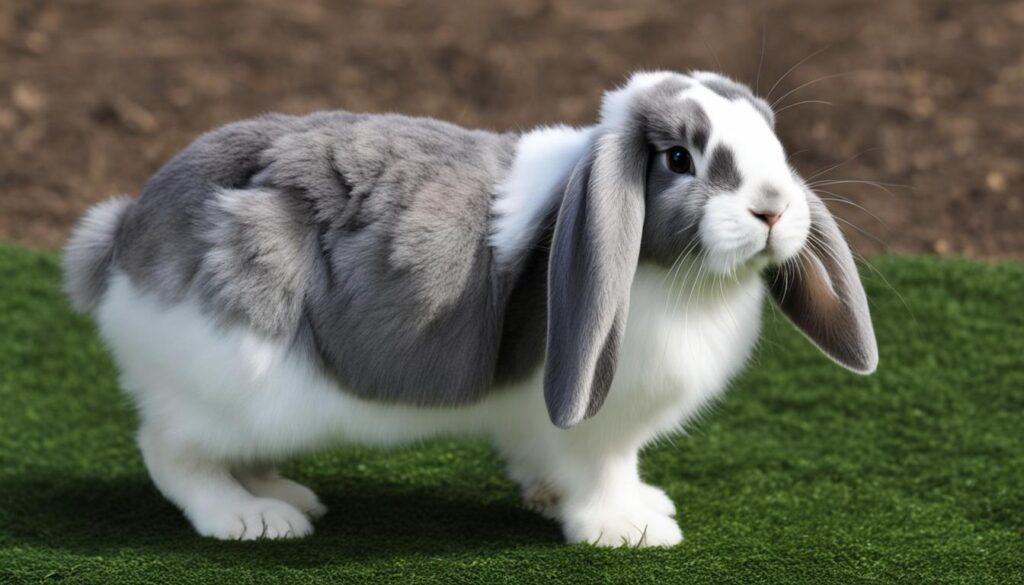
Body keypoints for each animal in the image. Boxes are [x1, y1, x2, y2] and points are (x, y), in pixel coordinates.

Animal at [64, 71, 876, 549]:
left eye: (772, 139)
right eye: (680, 159)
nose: (774, 208)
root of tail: (122, 241)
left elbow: (567, 462)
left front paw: (588, 502)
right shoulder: (594, 423)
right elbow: (599, 470)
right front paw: (630, 529)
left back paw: (282, 494)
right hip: (233, 379)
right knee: (171, 453)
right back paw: (250, 520)